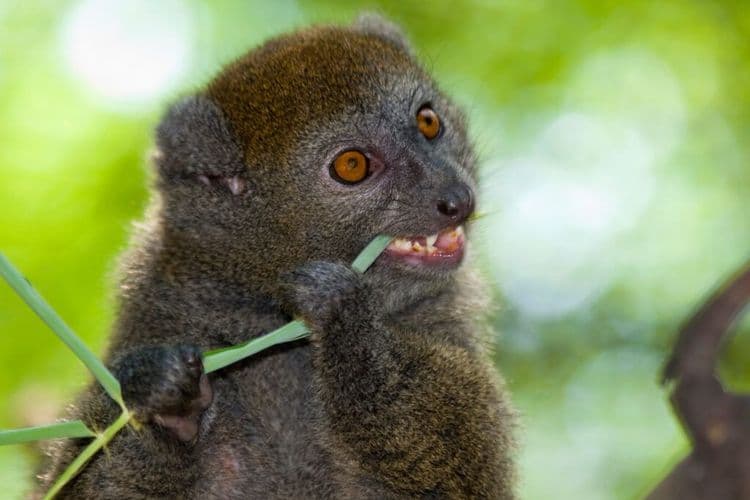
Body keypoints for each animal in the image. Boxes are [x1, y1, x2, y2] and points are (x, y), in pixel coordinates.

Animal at [39, 14, 516, 499]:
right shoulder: (160, 315)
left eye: (428, 121)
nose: (455, 198)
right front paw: (165, 404)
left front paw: (345, 318)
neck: (268, 315)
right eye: (352, 165)